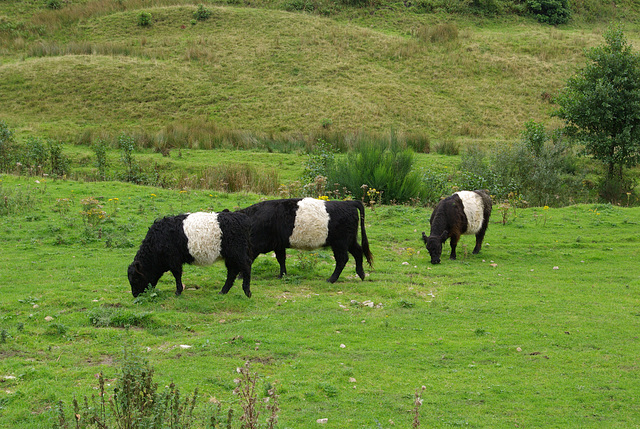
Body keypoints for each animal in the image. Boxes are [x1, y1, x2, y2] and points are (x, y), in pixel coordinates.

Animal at [238, 196, 372, 280]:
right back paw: (361, 274)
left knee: (342, 259)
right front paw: (282, 275)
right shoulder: (278, 244)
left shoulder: (256, 245)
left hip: (340, 242)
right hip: (349, 240)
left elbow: (248, 259)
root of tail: (348, 203)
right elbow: (281, 259)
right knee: (358, 251)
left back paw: (332, 279)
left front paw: (241, 276)